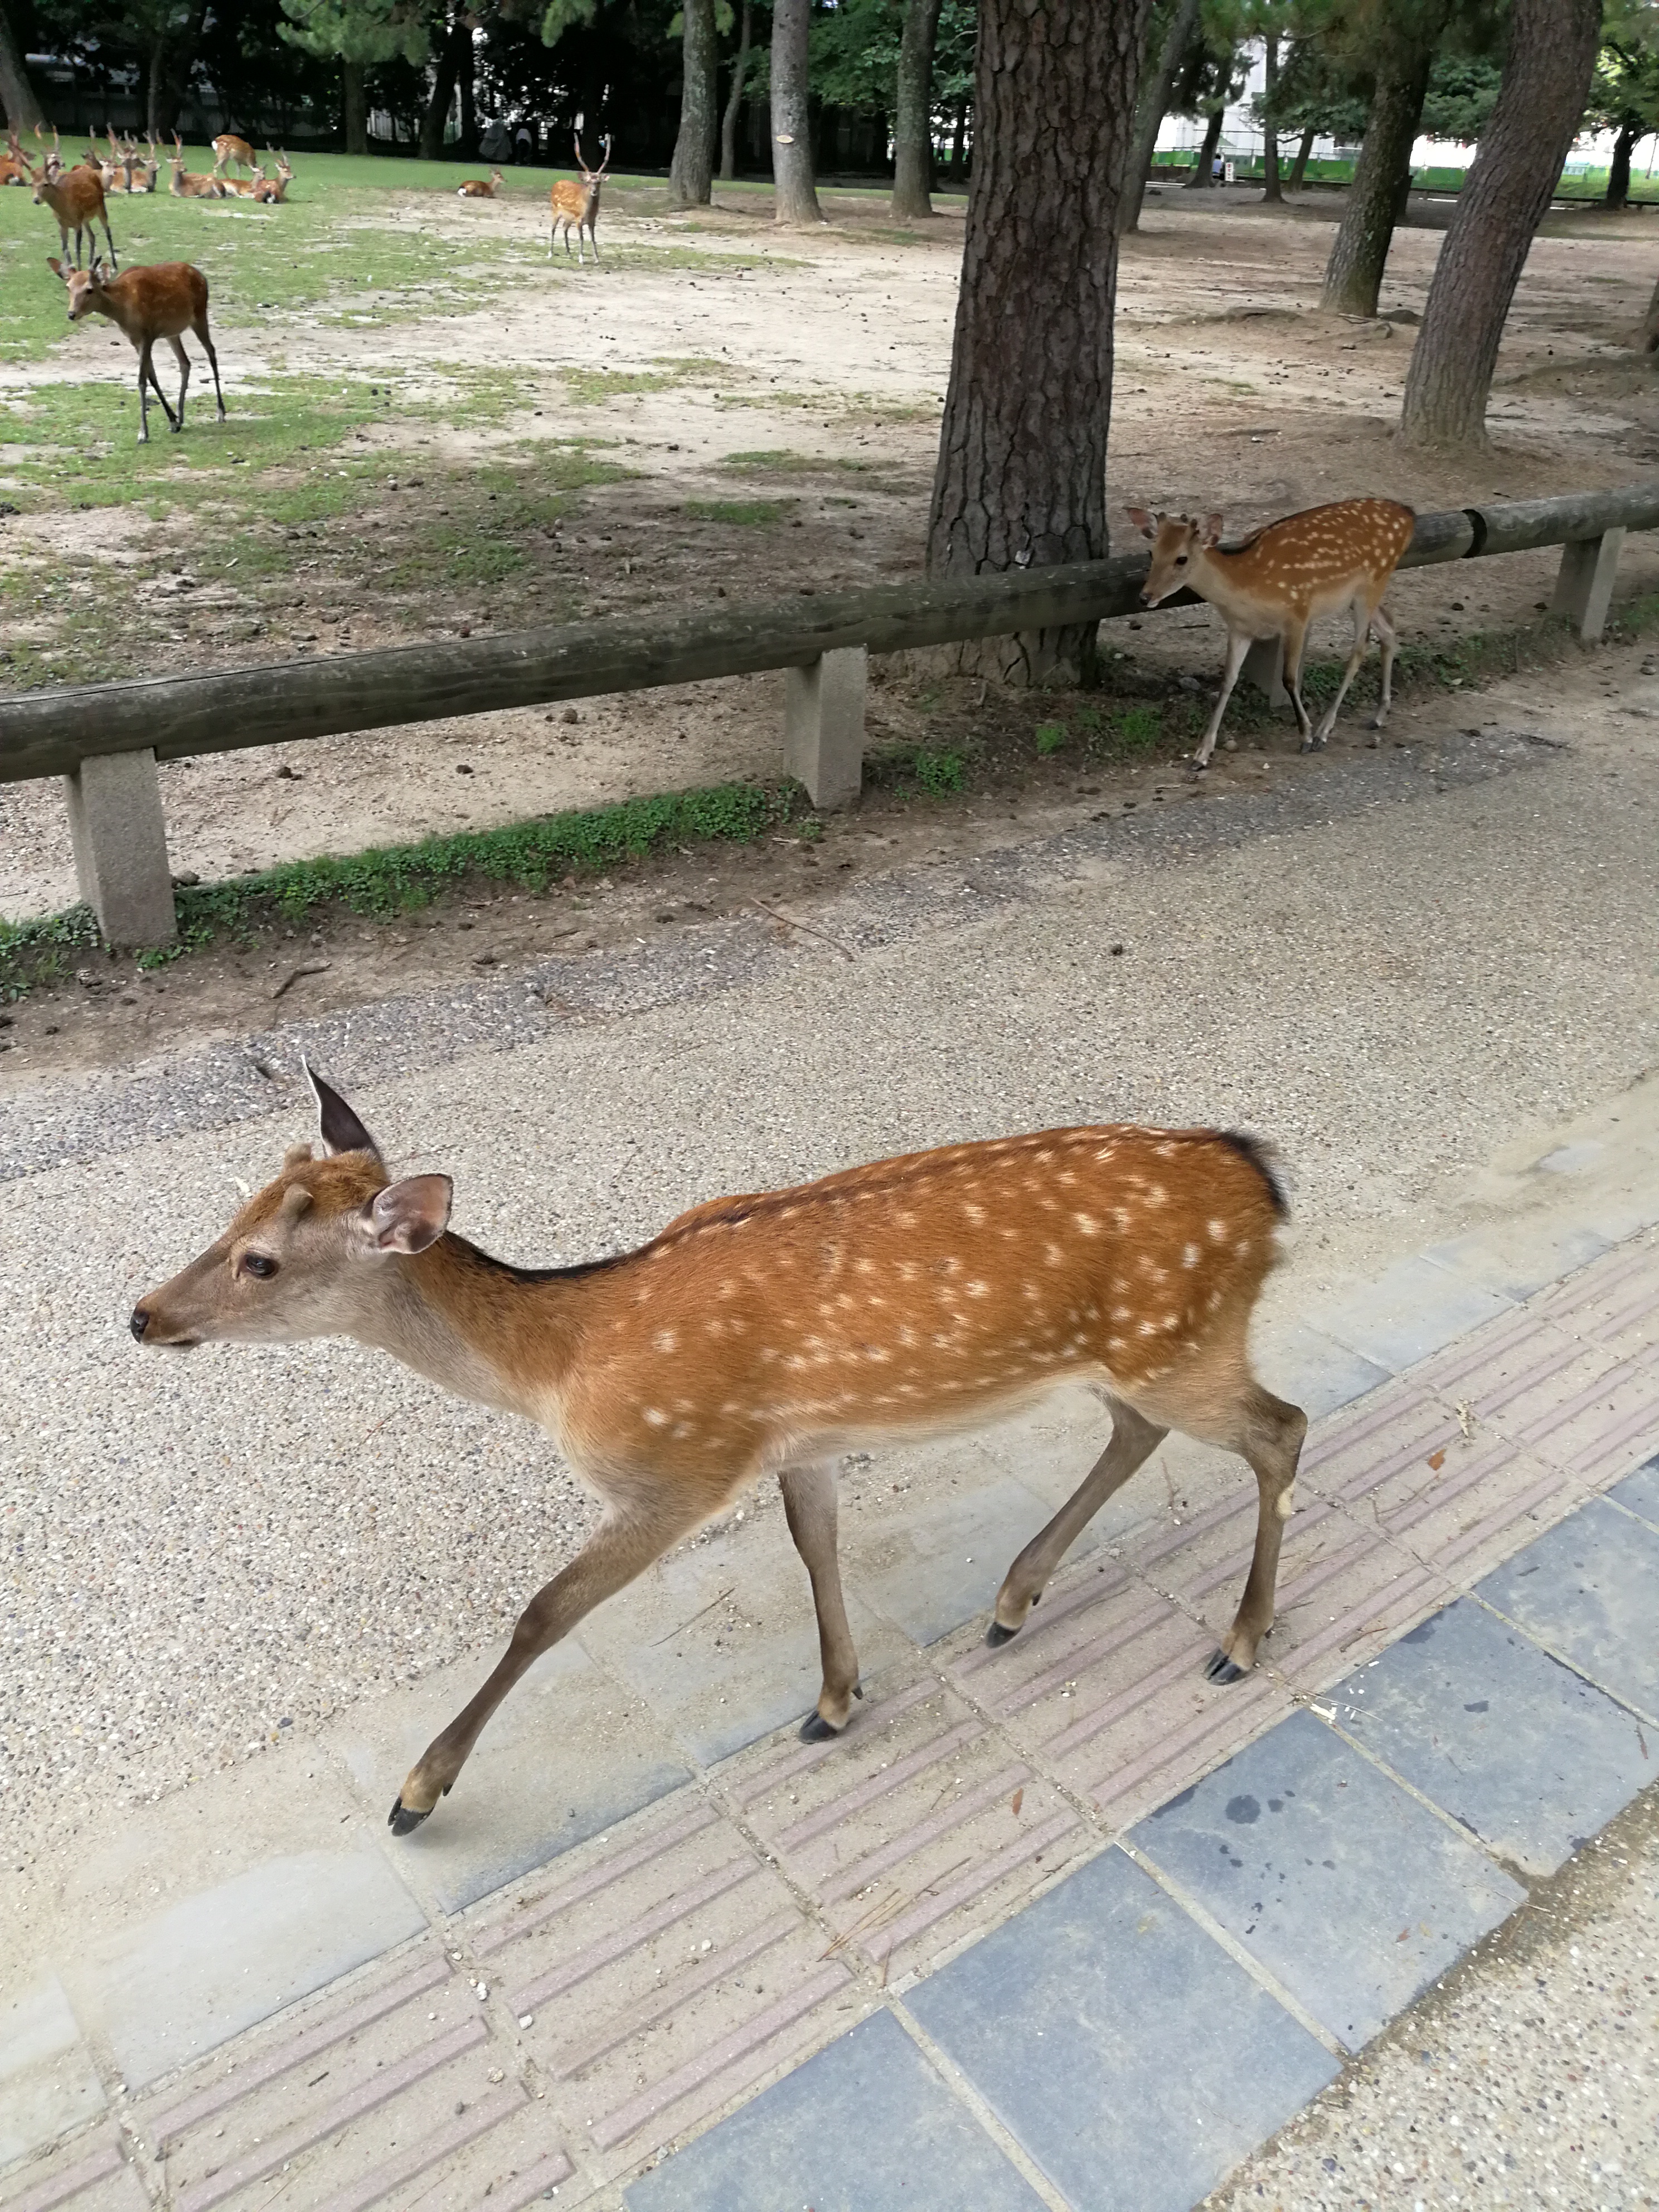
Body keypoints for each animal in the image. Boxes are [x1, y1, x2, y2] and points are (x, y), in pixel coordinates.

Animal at [34, 157, 118, 273]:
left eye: (45, 184)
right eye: (32, 184)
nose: (36, 200)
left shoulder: (77, 222)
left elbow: (77, 249)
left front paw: (79, 270)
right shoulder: (62, 224)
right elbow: (64, 247)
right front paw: (71, 269)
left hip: (101, 207)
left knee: (108, 232)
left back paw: (114, 265)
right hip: (85, 219)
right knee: (92, 236)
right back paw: (90, 264)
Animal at [50, 256, 225, 444]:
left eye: (89, 289)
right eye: (68, 287)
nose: (71, 314)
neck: (123, 308)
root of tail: (201, 276)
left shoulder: (147, 335)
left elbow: (142, 380)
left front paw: (143, 434)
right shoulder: (134, 339)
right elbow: (152, 377)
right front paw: (172, 421)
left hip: (200, 314)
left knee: (211, 352)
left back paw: (221, 413)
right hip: (172, 332)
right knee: (185, 363)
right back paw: (181, 416)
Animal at [130, 1067, 1308, 1838]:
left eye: (261, 1260)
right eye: (231, 1212)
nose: (143, 1315)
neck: (563, 1359)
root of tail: (1264, 1181)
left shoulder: (675, 1468)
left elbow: (545, 1612)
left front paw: (418, 1791)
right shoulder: (794, 1440)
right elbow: (815, 1544)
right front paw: (834, 1701)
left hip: (1184, 1340)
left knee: (1280, 1430)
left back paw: (1239, 1638)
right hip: (1150, 1353)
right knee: (1143, 1428)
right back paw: (1014, 1602)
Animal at [549, 131, 610, 263]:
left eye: (599, 182)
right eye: (588, 182)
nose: (594, 192)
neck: (588, 212)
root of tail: (556, 183)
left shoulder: (592, 221)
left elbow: (593, 238)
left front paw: (597, 259)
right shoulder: (578, 220)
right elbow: (581, 238)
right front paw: (581, 258)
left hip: (568, 217)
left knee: (564, 228)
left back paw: (569, 254)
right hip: (556, 210)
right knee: (553, 228)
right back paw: (550, 253)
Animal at [1129, 498, 1416, 772]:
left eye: (1182, 558)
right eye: (1151, 552)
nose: (1145, 597)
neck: (1248, 584)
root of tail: (1408, 515)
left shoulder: (1298, 614)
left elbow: (1289, 678)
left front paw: (1305, 737)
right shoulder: (1240, 629)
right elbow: (1228, 681)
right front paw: (1201, 755)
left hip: (1372, 582)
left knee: (1360, 647)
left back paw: (1324, 732)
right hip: (1357, 597)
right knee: (1388, 627)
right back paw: (1378, 716)